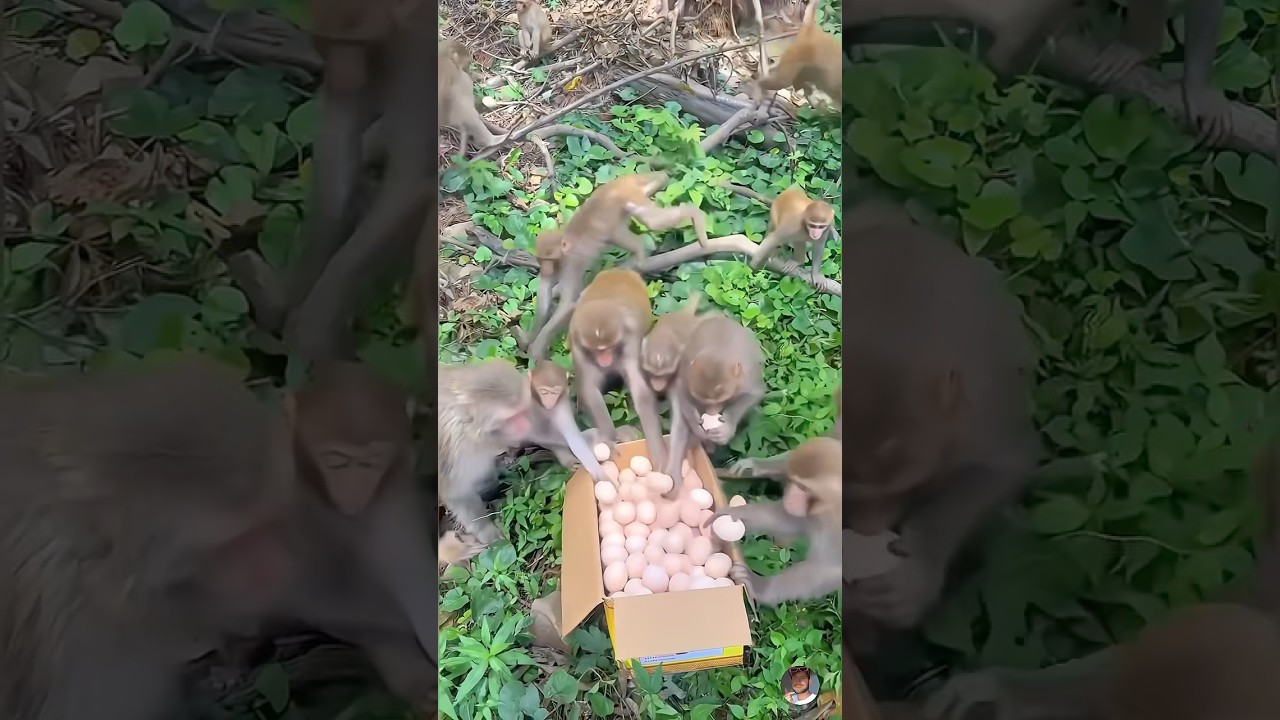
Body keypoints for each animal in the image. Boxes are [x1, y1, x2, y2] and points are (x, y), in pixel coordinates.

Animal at [437, 358, 532, 544]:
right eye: (512, 417)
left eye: (524, 409)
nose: (528, 424)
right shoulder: (453, 456)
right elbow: (459, 495)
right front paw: (487, 531)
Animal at [526, 171, 711, 359]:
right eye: (542, 259)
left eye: (550, 259)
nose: (546, 269)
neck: (563, 256)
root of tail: (623, 181)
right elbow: (545, 301)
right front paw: (530, 337)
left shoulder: (571, 265)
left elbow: (568, 302)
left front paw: (537, 347)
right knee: (616, 234)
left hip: (629, 197)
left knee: (652, 222)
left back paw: (693, 213)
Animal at [563, 268, 669, 470]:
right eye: (597, 350)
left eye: (609, 348)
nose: (605, 359)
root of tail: (617, 270)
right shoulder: (580, 350)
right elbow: (590, 390)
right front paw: (608, 438)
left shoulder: (630, 344)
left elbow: (641, 392)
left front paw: (658, 451)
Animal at [664, 311, 765, 486]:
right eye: (705, 401)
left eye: (721, 400)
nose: (711, 412)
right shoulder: (686, 372)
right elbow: (679, 392)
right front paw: (696, 425)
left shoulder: (746, 377)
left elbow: (754, 394)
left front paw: (727, 427)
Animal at [703, 437, 843, 605]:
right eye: (793, 482)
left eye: (802, 487)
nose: (789, 498)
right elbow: (788, 520)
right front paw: (736, 512)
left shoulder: (835, 528)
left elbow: (828, 569)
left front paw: (759, 587)